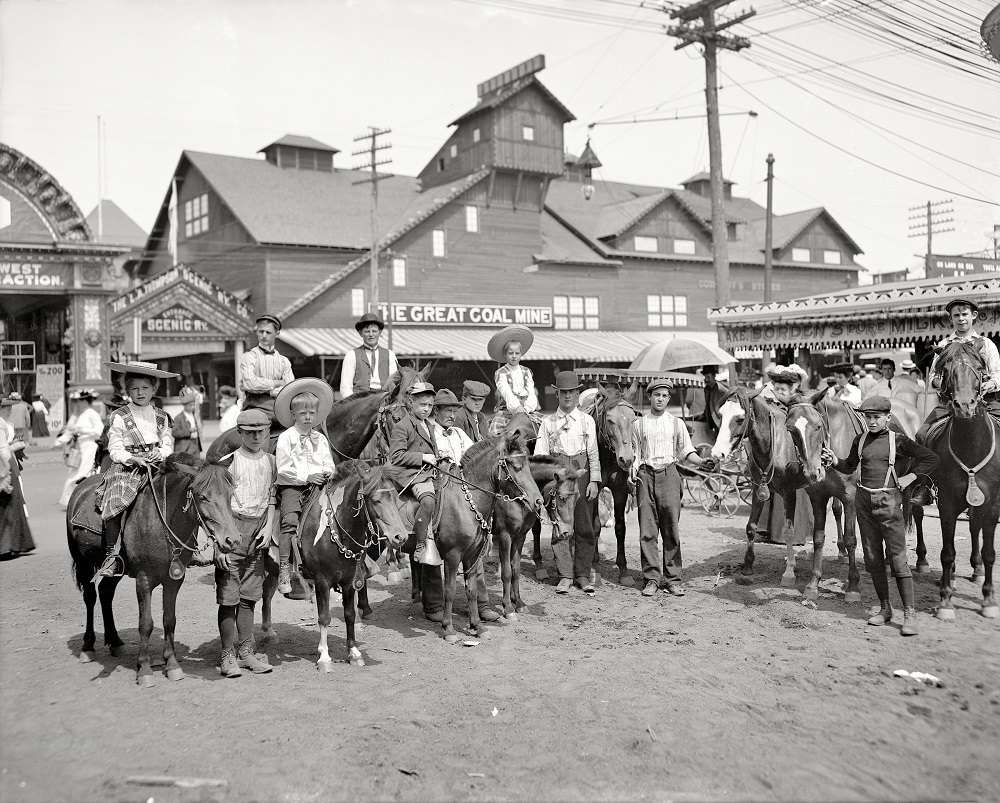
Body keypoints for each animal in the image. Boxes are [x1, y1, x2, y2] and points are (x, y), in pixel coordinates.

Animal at [65, 456, 240, 688]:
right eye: (203, 496)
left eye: (230, 495)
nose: (232, 540)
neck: (161, 522)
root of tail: (81, 487)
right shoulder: (144, 579)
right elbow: (146, 624)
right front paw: (145, 670)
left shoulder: (174, 579)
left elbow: (169, 619)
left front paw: (172, 665)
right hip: (83, 562)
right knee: (90, 597)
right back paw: (88, 646)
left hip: (118, 571)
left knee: (105, 593)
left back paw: (115, 641)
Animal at [716, 390, 864, 604]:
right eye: (720, 415)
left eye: (740, 418)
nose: (717, 453)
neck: (773, 445)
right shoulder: (757, 488)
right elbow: (751, 526)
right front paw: (747, 568)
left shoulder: (789, 492)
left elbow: (788, 531)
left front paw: (789, 572)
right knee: (835, 510)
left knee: (837, 511)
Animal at [924, 340, 996, 620]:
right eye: (946, 369)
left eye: (979, 368)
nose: (964, 406)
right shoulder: (947, 503)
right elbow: (947, 552)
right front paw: (945, 601)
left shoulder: (992, 505)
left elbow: (989, 552)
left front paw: (988, 600)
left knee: (975, 528)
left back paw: (976, 571)